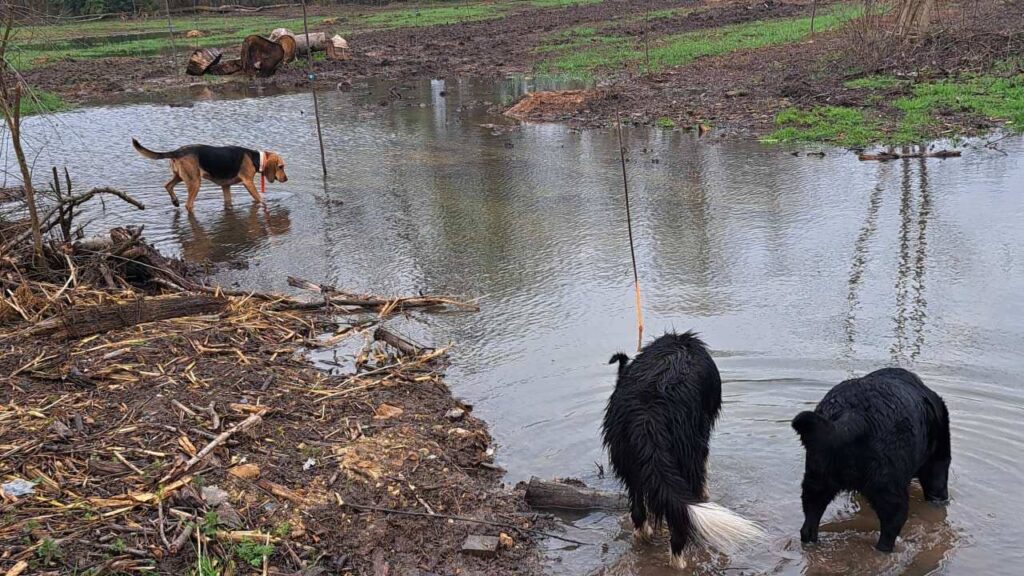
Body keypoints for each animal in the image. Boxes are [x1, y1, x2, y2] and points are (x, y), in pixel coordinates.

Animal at [602, 330, 765, 565]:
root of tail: (647, 418)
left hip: (628, 461)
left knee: (639, 513)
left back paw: (645, 536)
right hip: (687, 451)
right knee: (680, 522)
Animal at [790, 366, 950, 553]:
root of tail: (853, 414)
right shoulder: (937, 463)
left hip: (816, 478)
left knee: (809, 522)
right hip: (888, 485)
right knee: (892, 523)